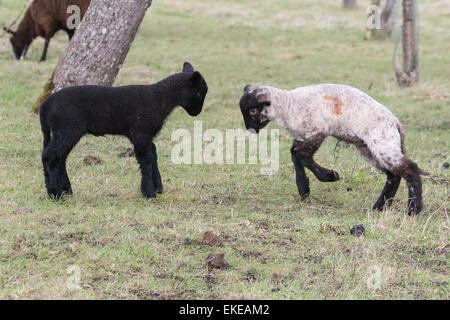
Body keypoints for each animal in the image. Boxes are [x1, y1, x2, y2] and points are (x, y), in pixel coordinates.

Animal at [39, 61, 208, 199]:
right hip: (67, 129)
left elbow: (153, 154)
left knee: (59, 158)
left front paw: (158, 187)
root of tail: (45, 106)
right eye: (199, 92)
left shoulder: (145, 136)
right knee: (51, 156)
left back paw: (65, 191)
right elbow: (146, 159)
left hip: (63, 132)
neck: (159, 98)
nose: (197, 113)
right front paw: (149, 193)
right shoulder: (141, 133)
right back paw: (56, 194)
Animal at [239, 84, 426, 214]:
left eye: (253, 111)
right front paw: (304, 189)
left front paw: (330, 176)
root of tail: (396, 123)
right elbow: (295, 156)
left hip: (381, 144)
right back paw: (380, 207)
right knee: (394, 175)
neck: (287, 106)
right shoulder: (303, 136)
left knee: (410, 170)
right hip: (369, 149)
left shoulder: (318, 130)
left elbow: (301, 156)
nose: (250, 128)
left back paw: (413, 209)